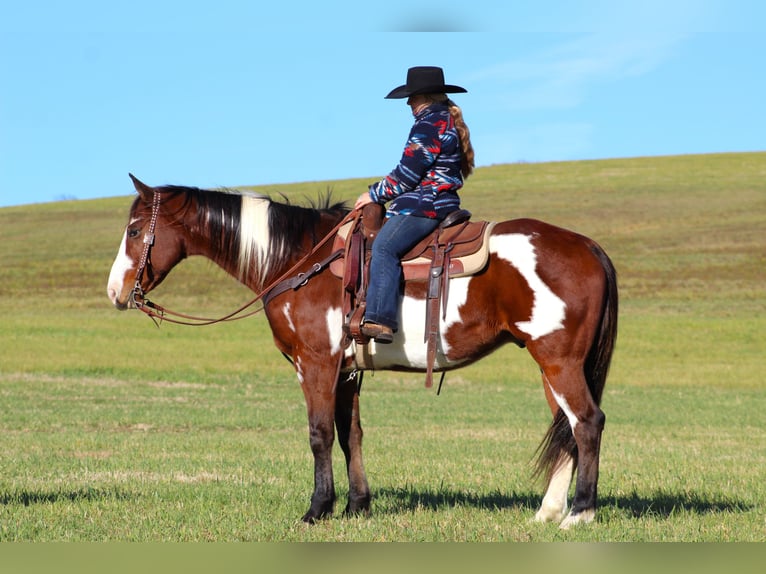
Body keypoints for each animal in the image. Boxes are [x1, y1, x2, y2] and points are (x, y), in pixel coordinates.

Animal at [108, 176, 620, 532]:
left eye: (133, 230)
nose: (115, 292)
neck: (299, 259)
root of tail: (589, 246)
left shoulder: (315, 363)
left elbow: (318, 434)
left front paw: (316, 510)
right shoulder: (346, 371)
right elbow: (349, 435)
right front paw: (357, 506)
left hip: (559, 360)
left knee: (587, 423)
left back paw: (580, 514)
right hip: (552, 365)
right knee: (566, 429)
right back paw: (548, 512)